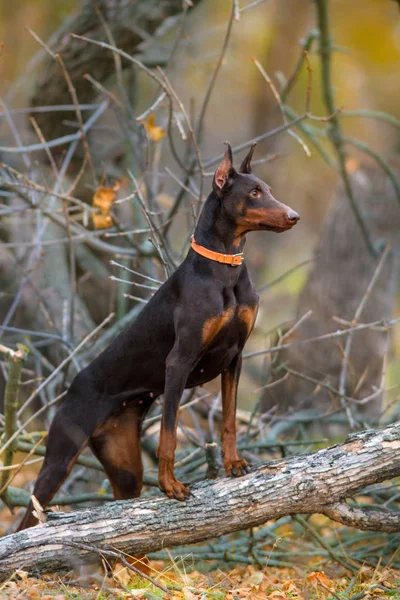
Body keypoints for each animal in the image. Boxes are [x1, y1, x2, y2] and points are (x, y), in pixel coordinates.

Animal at [18, 142, 300, 528]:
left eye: (267, 189)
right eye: (254, 192)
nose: (294, 216)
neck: (224, 268)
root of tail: (72, 386)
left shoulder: (235, 357)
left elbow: (228, 419)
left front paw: (232, 464)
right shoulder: (179, 362)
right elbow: (169, 433)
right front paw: (170, 485)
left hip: (126, 469)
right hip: (60, 458)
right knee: (28, 517)